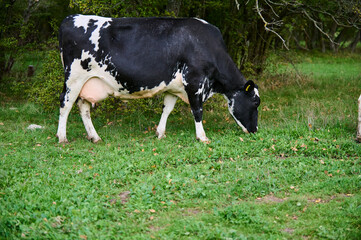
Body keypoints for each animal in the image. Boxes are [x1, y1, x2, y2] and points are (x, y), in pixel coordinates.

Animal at [55, 14, 258, 142]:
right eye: (256, 102)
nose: (255, 130)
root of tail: (70, 18)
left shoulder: (174, 87)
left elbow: (167, 109)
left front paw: (160, 133)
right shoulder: (194, 81)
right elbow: (197, 110)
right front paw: (202, 137)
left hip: (87, 82)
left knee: (83, 107)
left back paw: (95, 137)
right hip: (74, 78)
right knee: (65, 104)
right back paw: (62, 137)